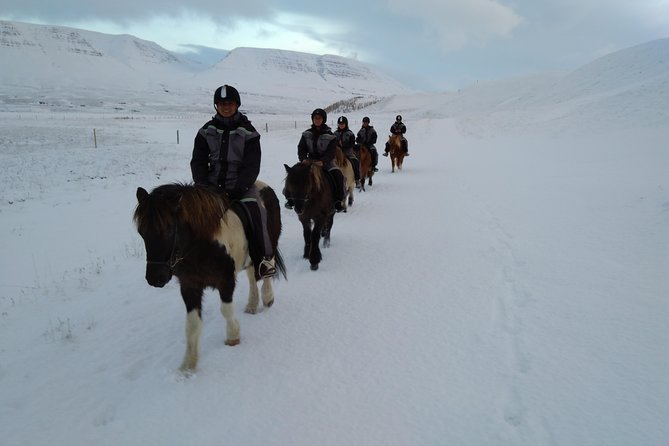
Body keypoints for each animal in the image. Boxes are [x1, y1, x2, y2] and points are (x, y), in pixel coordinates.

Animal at [133, 181, 286, 373]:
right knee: (252, 276)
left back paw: (267, 298)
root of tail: (263, 186)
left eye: (168, 230)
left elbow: (226, 310)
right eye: (141, 232)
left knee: (266, 270)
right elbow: (192, 324)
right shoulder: (189, 286)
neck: (202, 247)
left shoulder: (226, 281)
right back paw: (252, 305)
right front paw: (188, 365)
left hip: (269, 244)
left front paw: (233, 338)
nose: (155, 278)